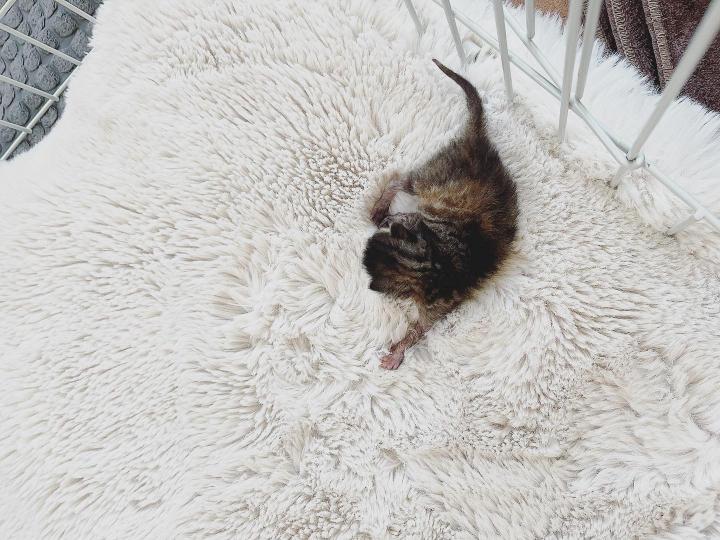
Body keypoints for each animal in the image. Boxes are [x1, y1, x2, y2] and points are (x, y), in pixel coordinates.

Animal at [363, 59, 518, 369]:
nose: (382, 224)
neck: (431, 266)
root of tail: (478, 142)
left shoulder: (435, 305)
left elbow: (418, 330)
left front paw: (397, 352)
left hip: (430, 177)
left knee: (398, 178)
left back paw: (378, 207)